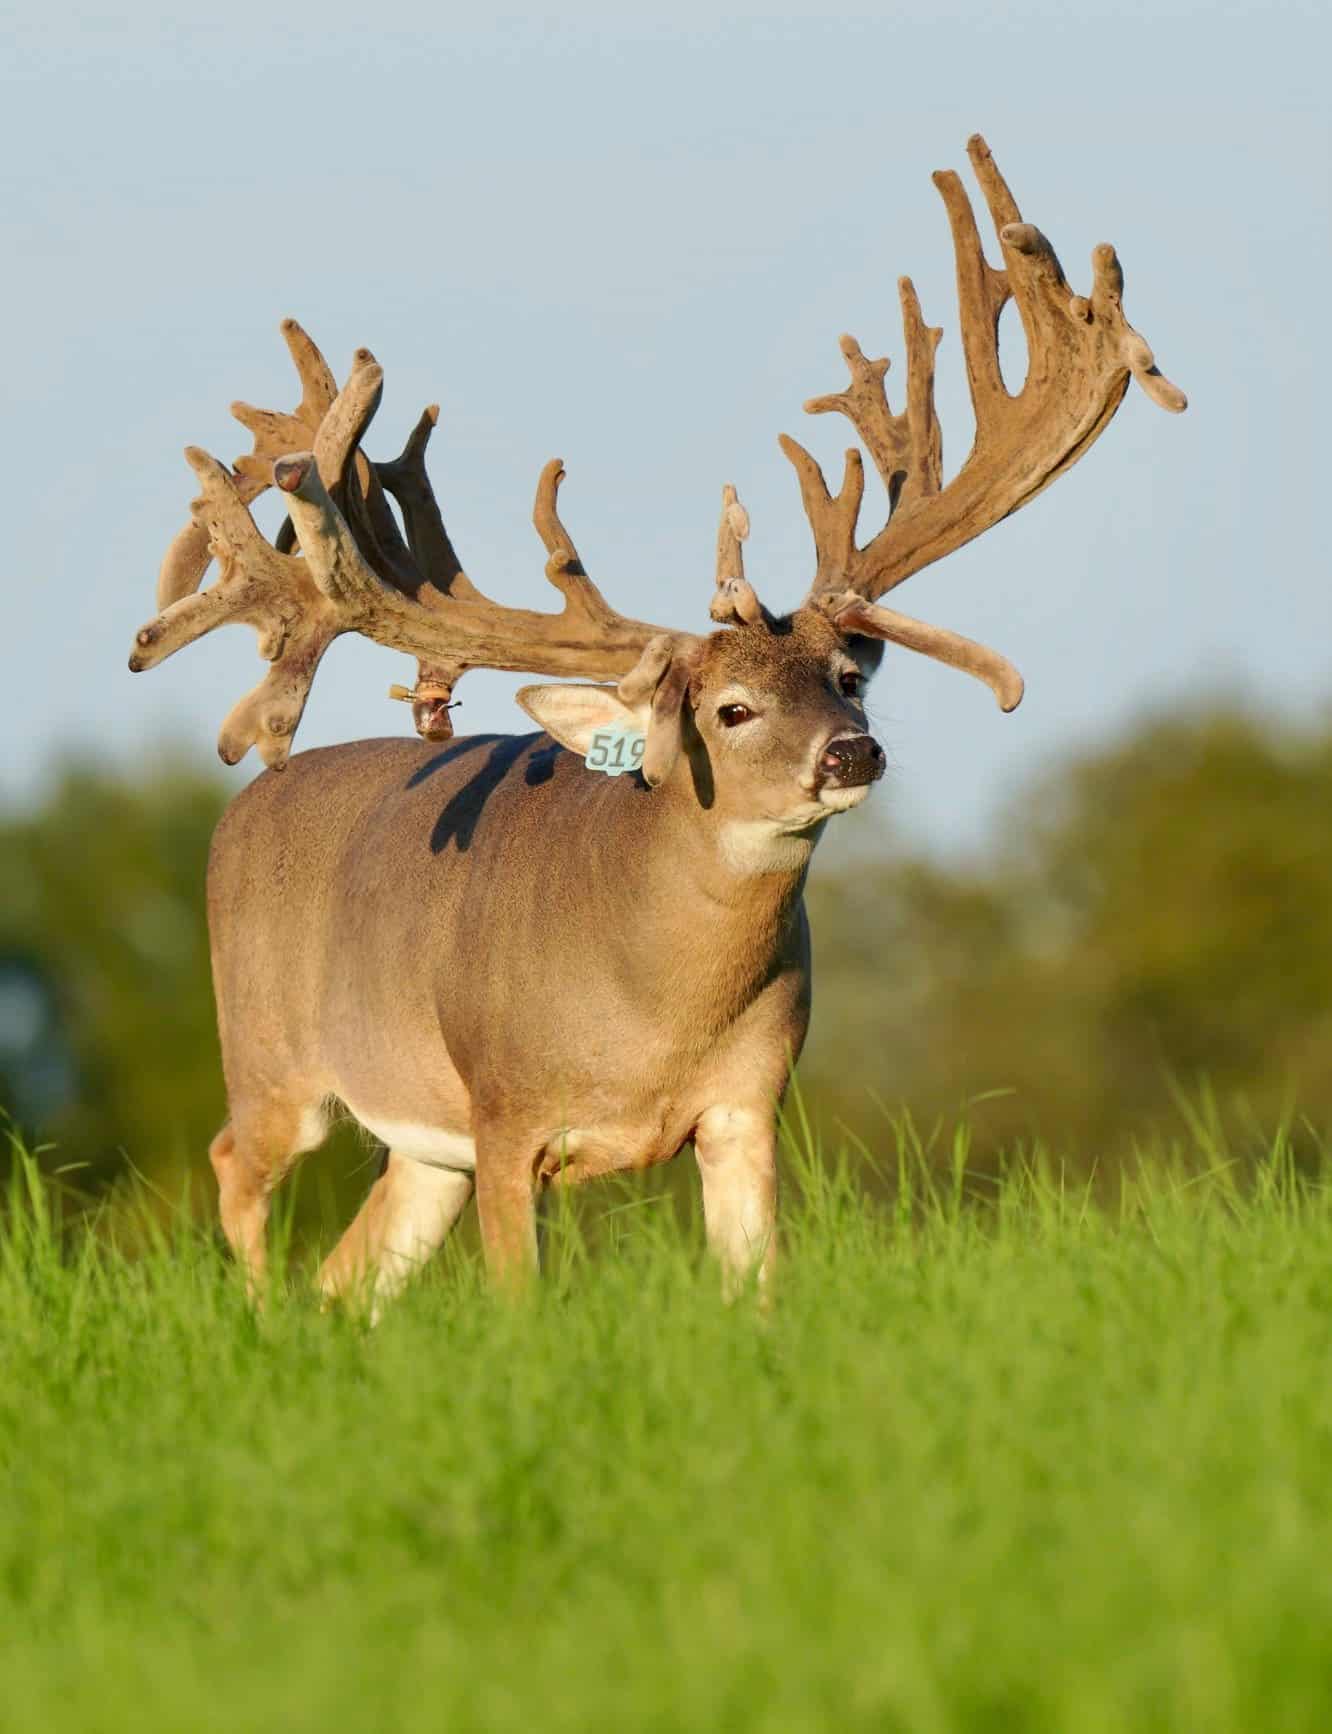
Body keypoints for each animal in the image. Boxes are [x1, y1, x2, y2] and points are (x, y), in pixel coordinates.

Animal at [129, 136, 1185, 1310]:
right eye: (731, 709)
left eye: (848, 679)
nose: (853, 751)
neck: (653, 1012)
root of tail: (245, 803)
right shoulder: (507, 1114)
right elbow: (520, 1305)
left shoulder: (747, 1105)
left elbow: (756, 1289)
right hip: (273, 1052)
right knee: (237, 1166)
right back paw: (256, 1315)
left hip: (420, 1140)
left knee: (349, 1269)